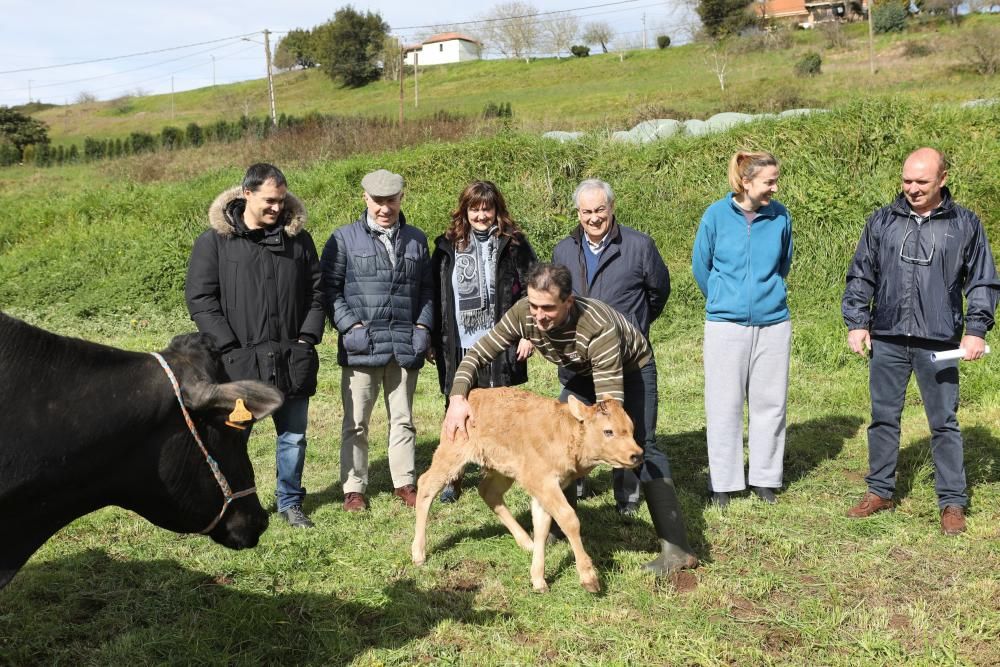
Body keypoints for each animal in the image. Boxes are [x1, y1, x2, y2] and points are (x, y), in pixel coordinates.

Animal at [412, 386, 640, 596]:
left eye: (631, 428)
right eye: (608, 431)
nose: (636, 454)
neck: (567, 432)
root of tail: (472, 394)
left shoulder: (542, 490)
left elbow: (542, 527)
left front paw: (538, 580)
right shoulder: (545, 484)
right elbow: (569, 519)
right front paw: (589, 578)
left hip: (502, 470)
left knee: (488, 492)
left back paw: (526, 543)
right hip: (452, 455)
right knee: (425, 485)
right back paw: (418, 553)